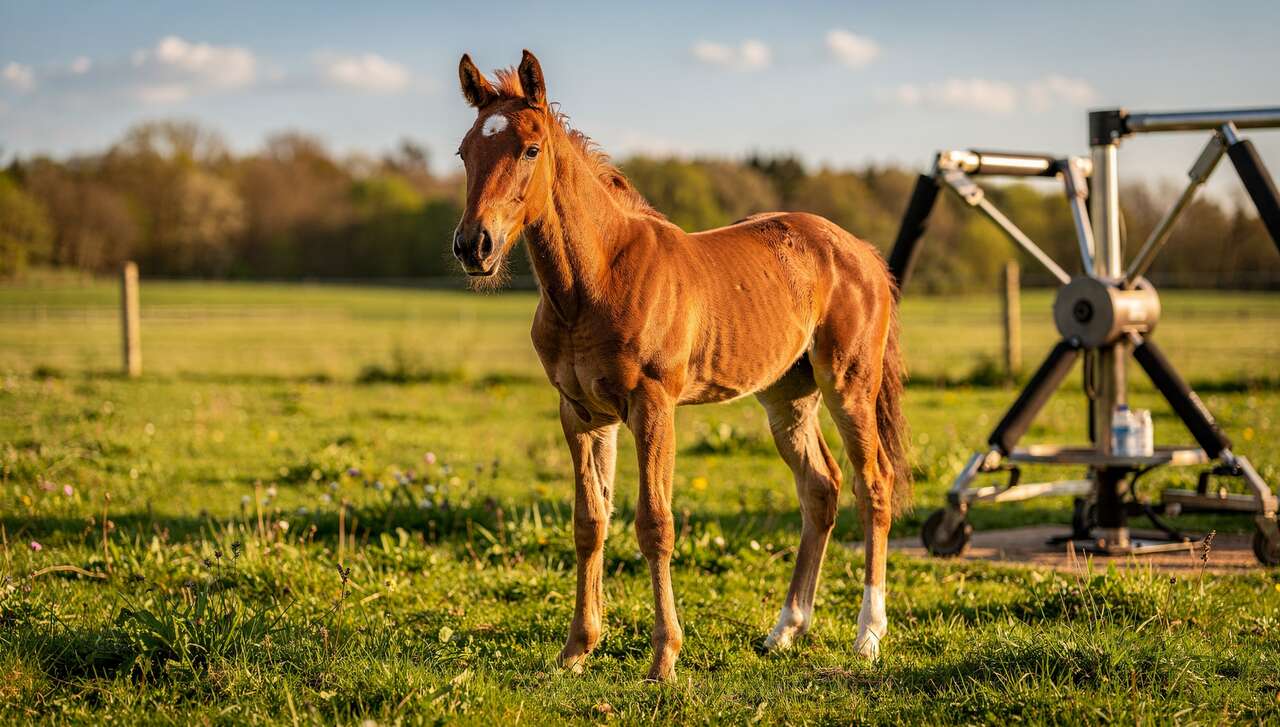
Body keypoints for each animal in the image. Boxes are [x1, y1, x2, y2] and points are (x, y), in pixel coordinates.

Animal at [452, 50, 910, 681]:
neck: (595, 281)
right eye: (464, 152)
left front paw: (664, 657)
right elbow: (589, 522)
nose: (474, 246)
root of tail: (860, 251)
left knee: (874, 485)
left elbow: (655, 524)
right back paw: (784, 630)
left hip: (849, 385)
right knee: (821, 488)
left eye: (530, 149)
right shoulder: (581, 414)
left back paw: (868, 635)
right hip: (788, 396)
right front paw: (576, 649)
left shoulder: (653, 406)